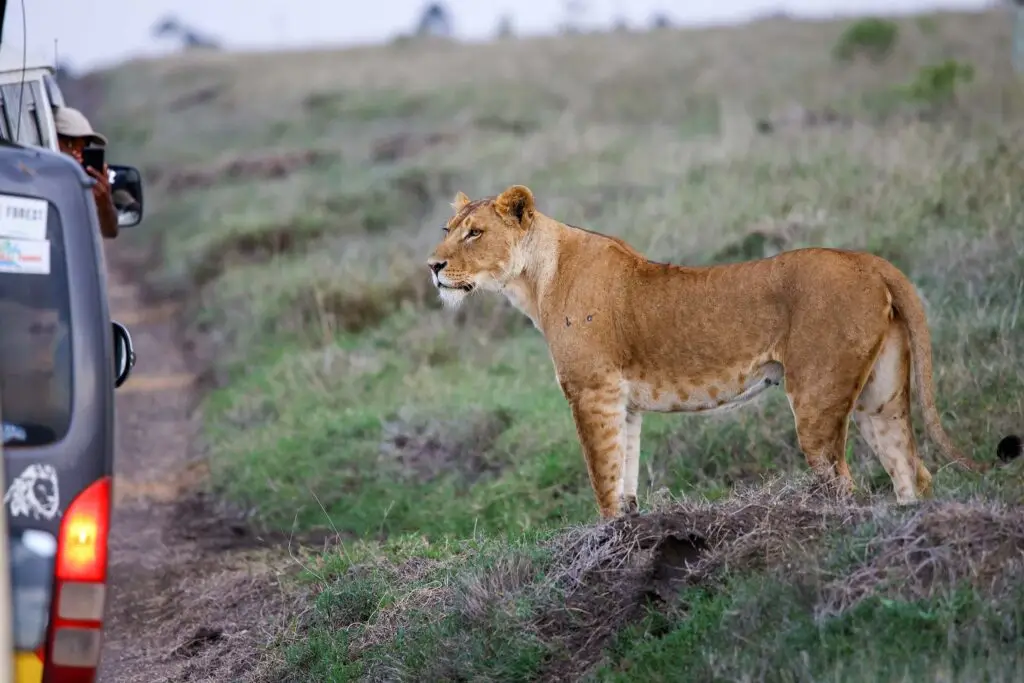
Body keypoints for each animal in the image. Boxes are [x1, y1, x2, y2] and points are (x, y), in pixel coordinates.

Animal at [427, 184, 1021, 519]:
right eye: (448, 229)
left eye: (475, 234)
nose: (433, 266)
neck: (534, 280)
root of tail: (868, 260)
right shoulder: (623, 403)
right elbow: (626, 477)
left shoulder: (590, 392)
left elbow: (602, 481)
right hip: (881, 397)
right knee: (912, 473)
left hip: (818, 396)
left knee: (844, 483)